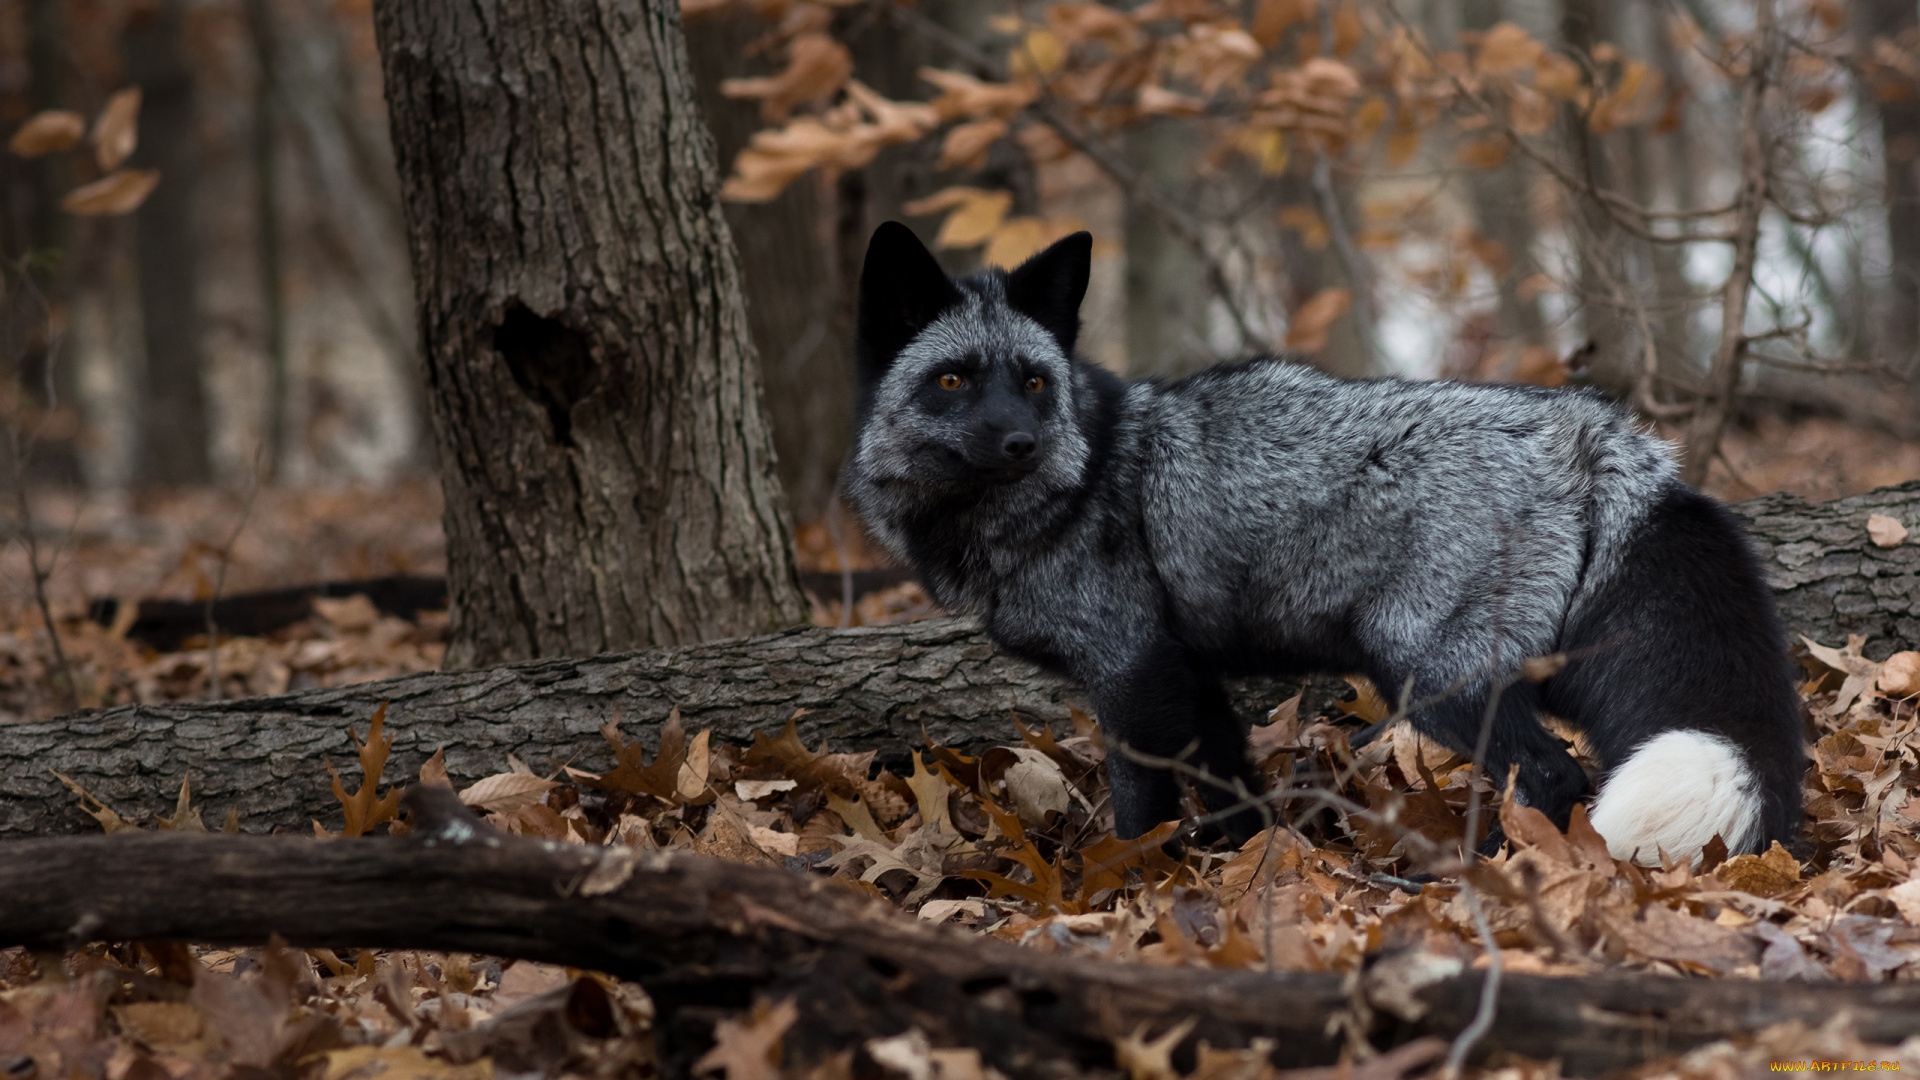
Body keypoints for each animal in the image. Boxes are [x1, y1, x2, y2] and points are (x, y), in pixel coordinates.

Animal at [841, 220, 1806, 864]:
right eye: (953, 380)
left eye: (1035, 382)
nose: (1021, 444)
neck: (1080, 479)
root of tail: (1591, 428)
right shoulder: (1188, 673)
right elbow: (1231, 791)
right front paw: (1238, 871)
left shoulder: (1130, 669)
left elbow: (1140, 806)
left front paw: (1131, 885)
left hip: (1429, 673)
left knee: (1556, 776)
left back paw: (1497, 872)